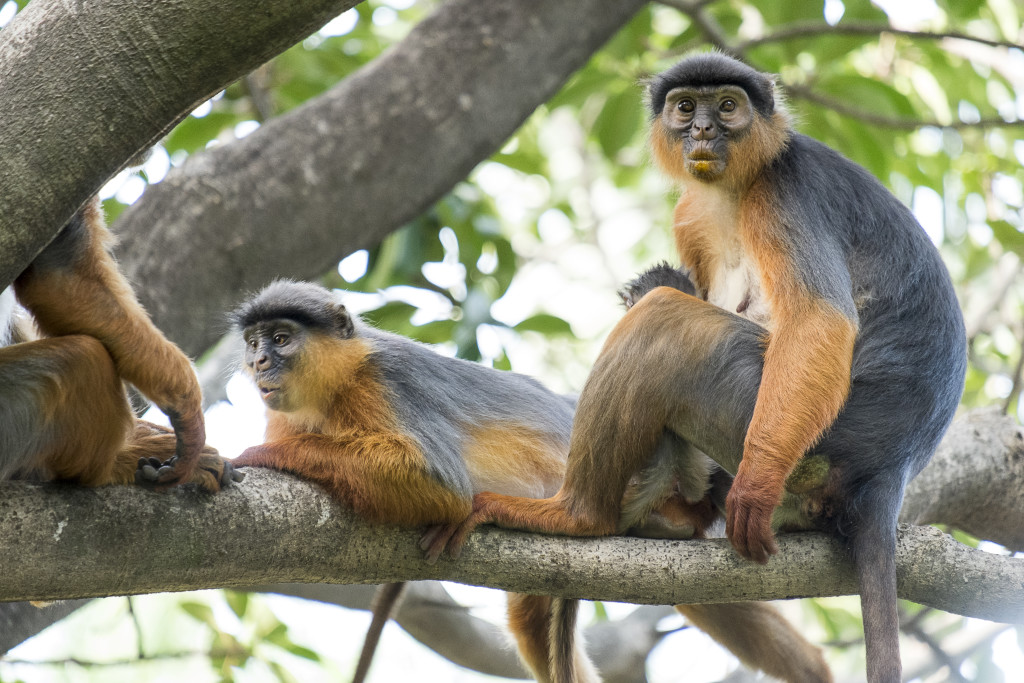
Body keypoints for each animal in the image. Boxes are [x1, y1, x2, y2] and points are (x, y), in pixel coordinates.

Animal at [230, 280, 831, 683]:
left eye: (281, 338)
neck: (334, 389)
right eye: (255, 343)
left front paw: (265, 453)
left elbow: (442, 485)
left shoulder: (384, 381)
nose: (259, 363)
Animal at [442, 53, 966, 683]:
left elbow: (819, 320)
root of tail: (893, 467)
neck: (734, 190)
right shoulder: (691, 211)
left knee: (665, 322)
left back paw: (579, 517)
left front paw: (754, 486)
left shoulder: (786, 190)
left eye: (728, 107)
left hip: (785, 429)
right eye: (686, 107)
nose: (702, 131)